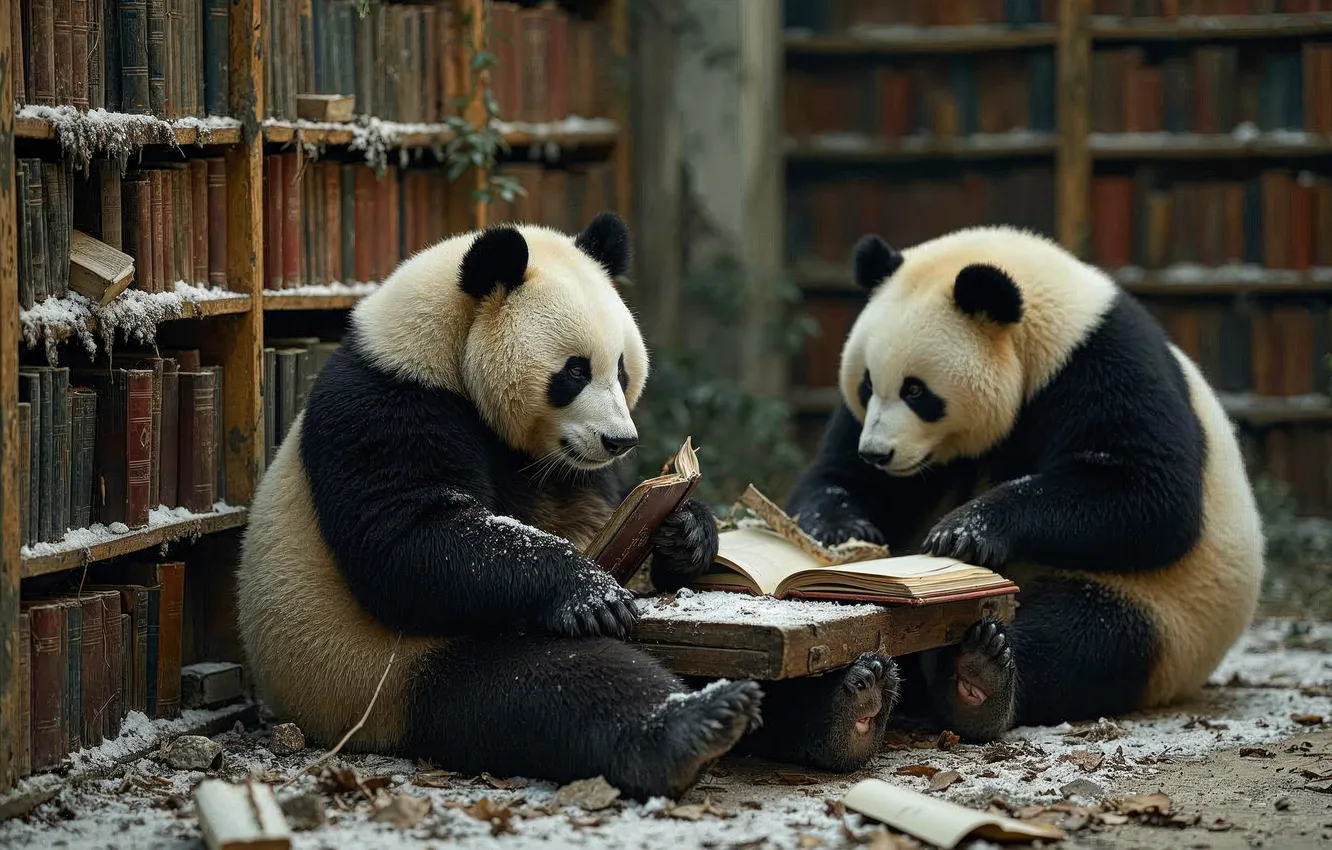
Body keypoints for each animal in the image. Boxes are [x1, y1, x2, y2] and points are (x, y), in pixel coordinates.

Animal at [785, 225, 1265, 742]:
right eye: (867, 384)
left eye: (916, 391)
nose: (878, 453)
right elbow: (839, 477)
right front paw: (842, 530)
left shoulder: (1099, 361)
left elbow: (1150, 493)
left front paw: (964, 533)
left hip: (1169, 614)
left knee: (1085, 637)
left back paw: (980, 679)